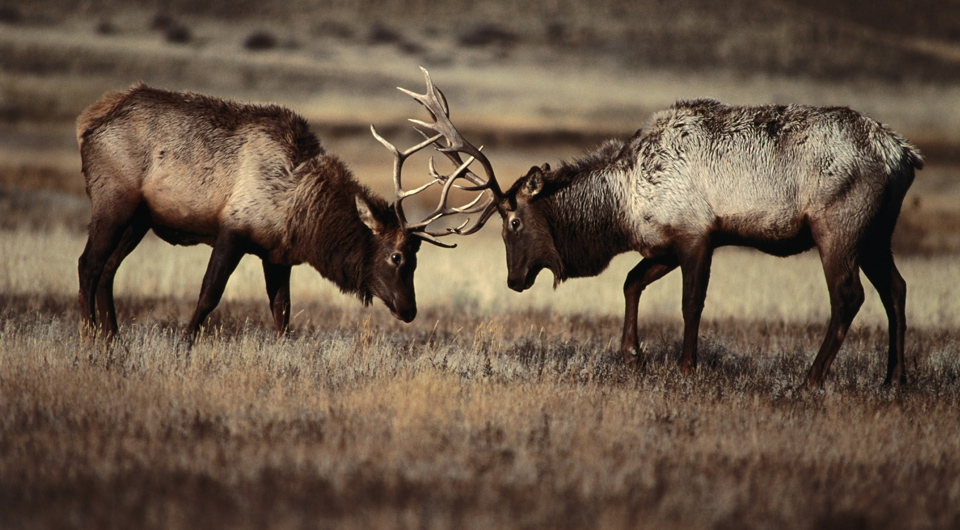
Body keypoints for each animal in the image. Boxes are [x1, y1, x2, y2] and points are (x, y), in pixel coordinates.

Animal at [77, 82, 464, 338]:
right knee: (88, 264)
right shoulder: (233, 230)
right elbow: (209, 294)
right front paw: (185, 342)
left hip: (138, 219)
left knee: (108, 269)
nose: (409, 309)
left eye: (417, 258)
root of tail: (87, 123)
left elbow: (282, 311)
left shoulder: (277, 255)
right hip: (113, 201)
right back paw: (88, 334)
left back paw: (112, 337)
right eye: (397, 257)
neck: (299, 209)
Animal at [400, 68, 924, 386]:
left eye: (512, 220)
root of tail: (904, 155)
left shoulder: (697, 234)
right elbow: (631, 282)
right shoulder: (663, 244)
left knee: (849, 296)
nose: (513, 280)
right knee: (895, 288)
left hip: (838, 227)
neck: (624, 206)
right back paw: (894, 378)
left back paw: (812, 378)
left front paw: (686, 366)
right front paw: (633, 354)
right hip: (877, 233)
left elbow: (690, 304)